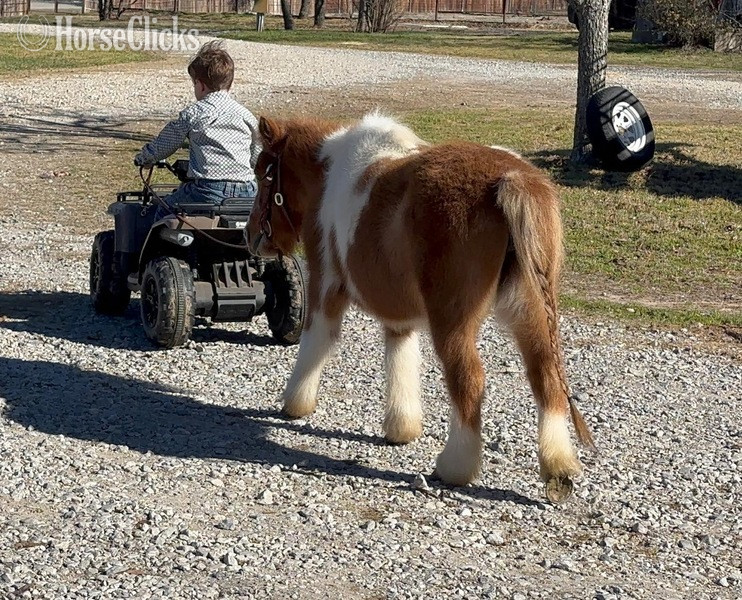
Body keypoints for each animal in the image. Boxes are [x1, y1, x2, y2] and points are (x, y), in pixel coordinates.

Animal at [246, 112, 594, 502]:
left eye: (264, 173)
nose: (250, 236)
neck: (326, 172)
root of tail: (511, 179)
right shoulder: (398, 315)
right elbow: (401, 358)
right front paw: (402, 427)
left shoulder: (325, 286)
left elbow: (315, 342)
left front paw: (295, 404)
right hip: (530, 311)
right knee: (546, 376)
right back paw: (558, 466)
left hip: (453, 321)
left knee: (469, 379)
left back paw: (455, 466)